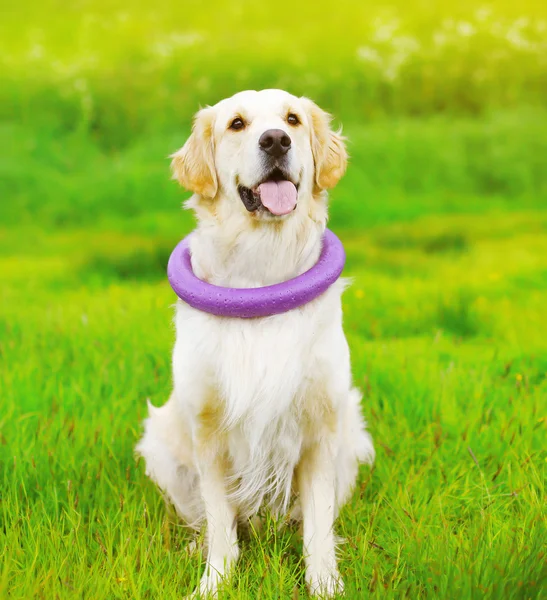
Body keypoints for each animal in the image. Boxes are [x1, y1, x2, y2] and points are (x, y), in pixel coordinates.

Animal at [137, 88, 376, 596]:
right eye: (237, 124)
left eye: (293, 118)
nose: (276, 140)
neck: (261, 271)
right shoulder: (208, 432)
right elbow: (221, 523)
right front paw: (213, 581)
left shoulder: (320, 429)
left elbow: (318, 525)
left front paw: (325, 582)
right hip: (161, 441)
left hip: (352, 435)